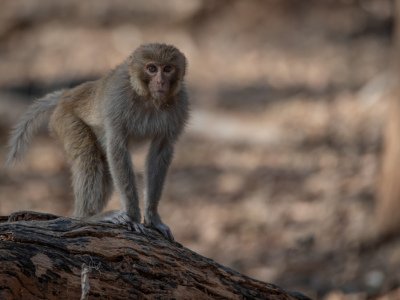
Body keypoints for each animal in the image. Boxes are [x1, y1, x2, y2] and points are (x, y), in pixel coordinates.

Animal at [6, 42, 189, 240]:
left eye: (168, 69)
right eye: (152, 68)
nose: (161, 82)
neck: (148, 98)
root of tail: (67, 94)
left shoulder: (180, 104)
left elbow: (160, 152)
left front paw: (153, 217)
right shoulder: (119, 100)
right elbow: (117, 147)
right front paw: (133, 216)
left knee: (104, 166)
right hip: (65, 119)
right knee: (88, 156)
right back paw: (88, 216)